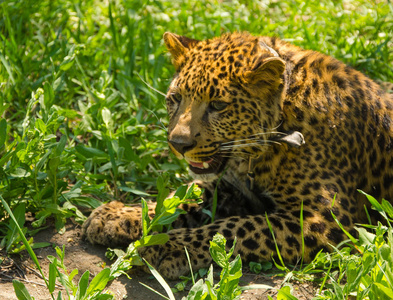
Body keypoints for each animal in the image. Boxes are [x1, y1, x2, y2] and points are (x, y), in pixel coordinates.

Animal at [82, 31, 392, 278]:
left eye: (218, 105)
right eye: (175, 98)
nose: (178, 144)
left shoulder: (321, 219)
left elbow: (231, 229)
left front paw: (166, 246)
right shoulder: (233, 189)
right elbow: (184, 197)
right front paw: (118, 215)